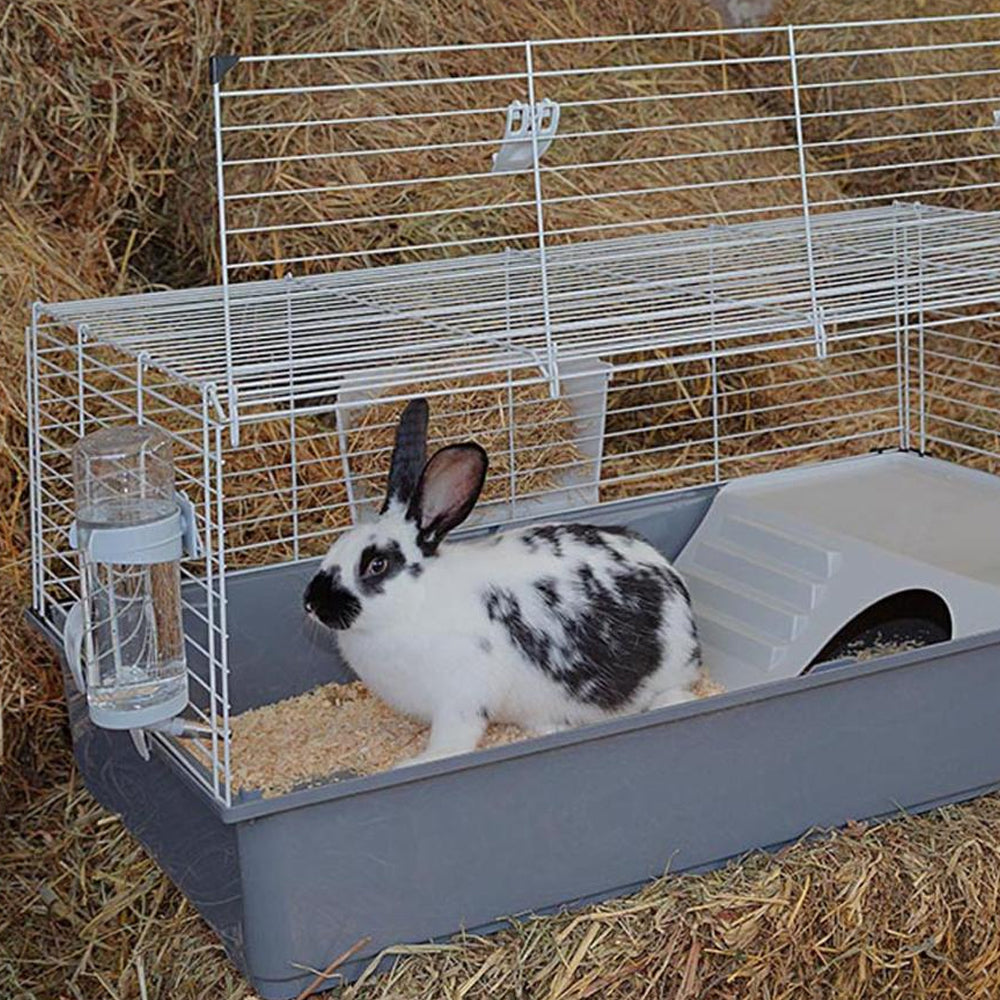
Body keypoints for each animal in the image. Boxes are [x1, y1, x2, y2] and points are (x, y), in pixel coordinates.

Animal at [304, 398, 701, 767]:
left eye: (376, 564)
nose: (310, 602)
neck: (416, 602)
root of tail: (682, 598)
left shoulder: (460, 698)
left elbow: (453, 741)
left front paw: (418, 761)